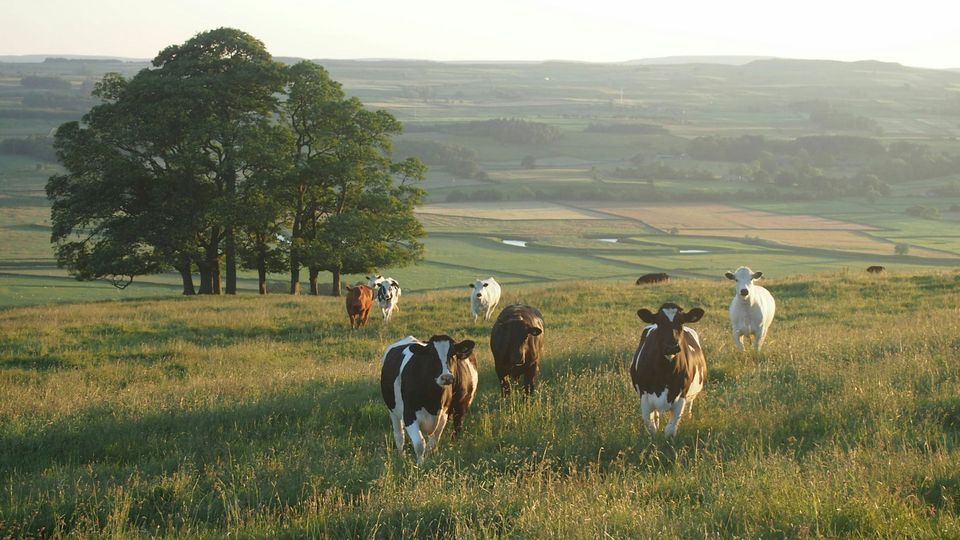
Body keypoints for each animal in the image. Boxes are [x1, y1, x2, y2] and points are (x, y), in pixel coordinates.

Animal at [378, 334, 476, 464]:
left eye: (453, 354)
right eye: (432, 355)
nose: (446, 377)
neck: (433, 400)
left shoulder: (443, 416)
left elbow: (432, 443)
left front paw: (430, 460)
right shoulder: (409, 415)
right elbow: (420, 444)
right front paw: (420, 464)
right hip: (393, 410)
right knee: (399, 436)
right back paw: (401, 456)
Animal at [632, 304, 704, 438]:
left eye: (681, 322)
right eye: (660, 322)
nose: (671, 346)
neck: (665, 372)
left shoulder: (681, 396)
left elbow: (670, 430)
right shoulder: (644, 396)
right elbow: (651, 427)